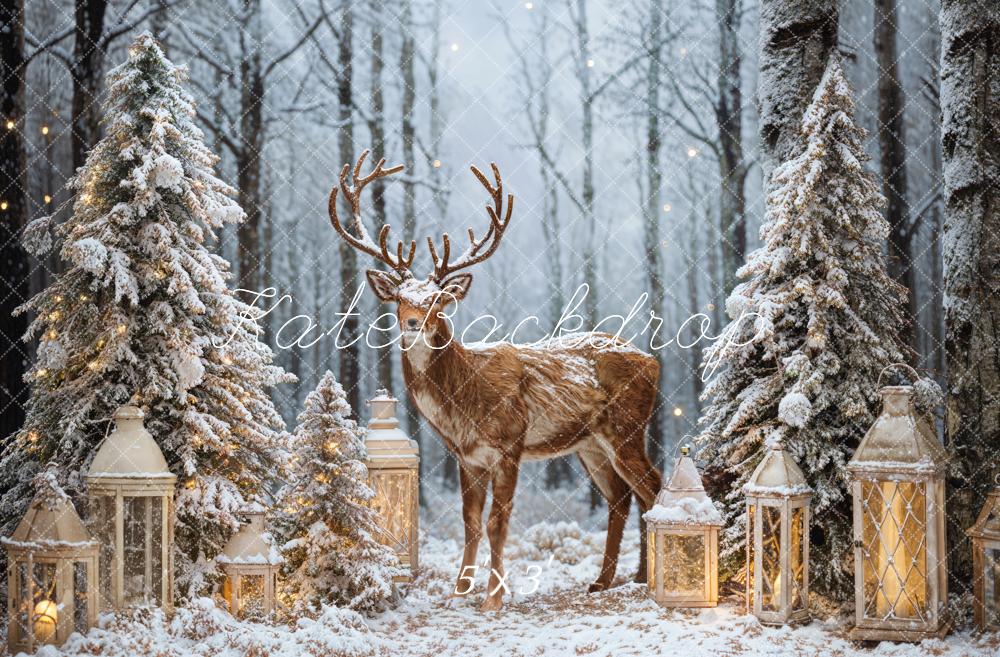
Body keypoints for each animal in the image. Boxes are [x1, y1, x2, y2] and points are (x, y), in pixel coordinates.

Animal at [328, 150, 664, 608]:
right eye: (399, 298)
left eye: (438, 299)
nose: (414, 323)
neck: (463, 403)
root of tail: (652, 361)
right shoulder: (466, 457)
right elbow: (470, 521)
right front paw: (457, 592)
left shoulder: (510, 444)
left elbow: (497, 523)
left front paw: (494, 598)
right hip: (590, 443)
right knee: (621, 496)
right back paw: (613, 579)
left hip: (627, 425)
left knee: (653, 486)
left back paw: (646, 577)